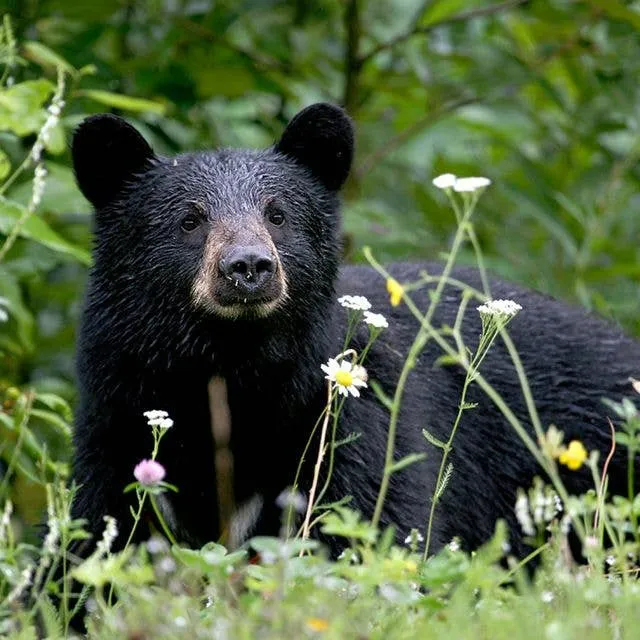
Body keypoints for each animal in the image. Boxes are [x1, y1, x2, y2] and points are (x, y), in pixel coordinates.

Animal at [70, 103, 640, 564]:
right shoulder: (117, 413)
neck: (234, 368)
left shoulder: (349, 419)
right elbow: (97, 534)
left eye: (278, 215)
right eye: (190, 221)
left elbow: (375, 521)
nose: (248, 267)